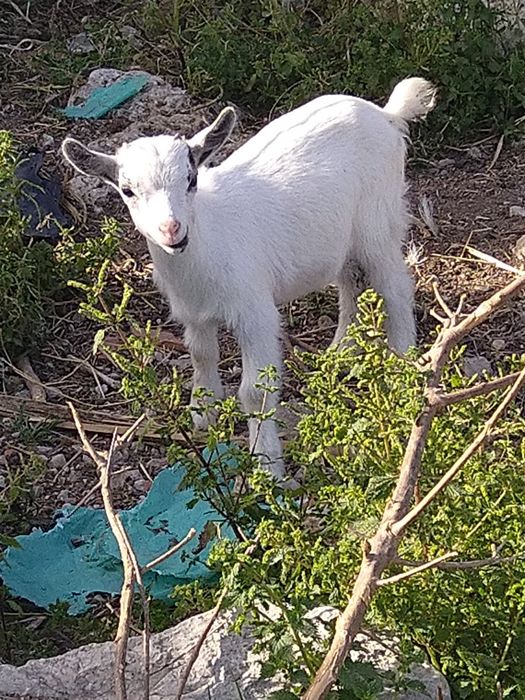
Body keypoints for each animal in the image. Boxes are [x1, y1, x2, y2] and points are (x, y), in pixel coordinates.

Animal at [62, 77, 436, 480]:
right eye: (128, 190)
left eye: (191, 179)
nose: (171, 229)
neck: (208, 240)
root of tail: (386, 114)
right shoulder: (193, 313)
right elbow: (201, 353)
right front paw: (203, 413)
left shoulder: (255, 313)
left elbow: (255, 391)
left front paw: (266, 467)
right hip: (339, 235)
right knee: (350, 281)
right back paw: (341, 350)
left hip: (377, 221)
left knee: (395, 286)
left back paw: (403, 360)